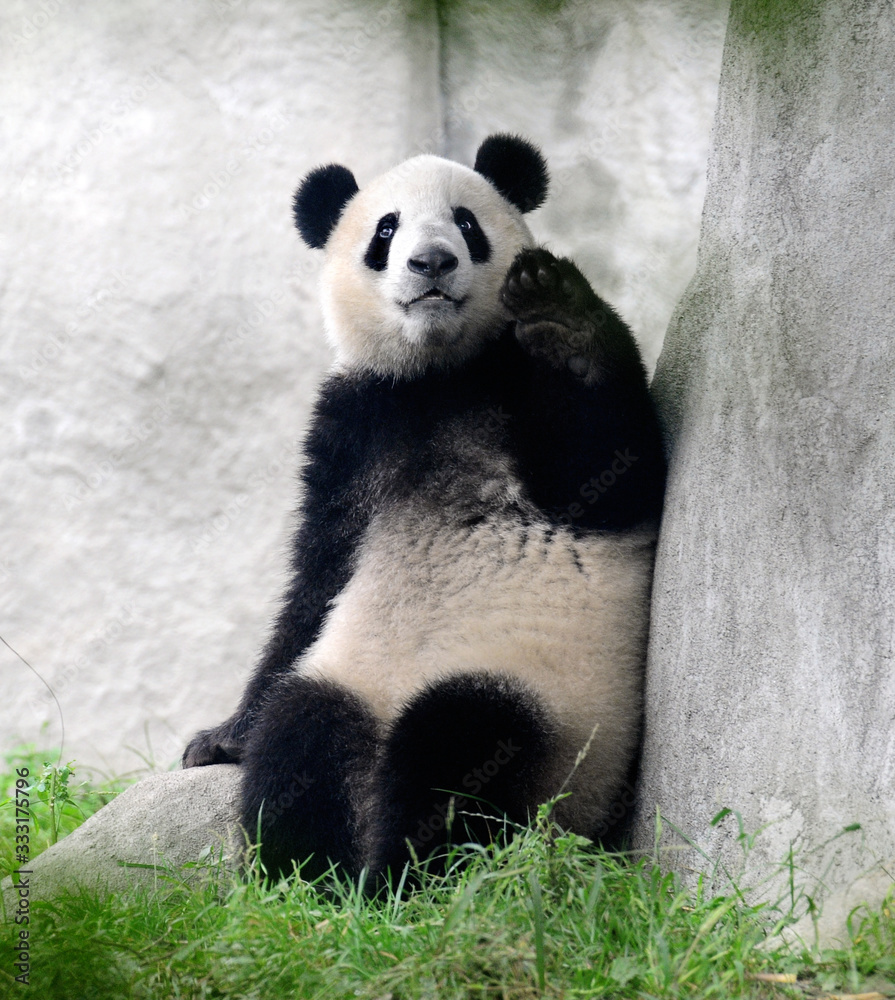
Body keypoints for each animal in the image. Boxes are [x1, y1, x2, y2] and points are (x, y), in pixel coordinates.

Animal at [183, 134, 666, 884]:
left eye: (465, 222)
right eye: (386, 230)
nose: (431, 261)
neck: (438, 371)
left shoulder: (513, 388)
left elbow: (614, 480)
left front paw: (563, 324)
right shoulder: (356, 426)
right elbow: (317, 579)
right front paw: (217, 739)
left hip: (566, 722)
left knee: (465, 741)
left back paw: (409, 879)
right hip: (351, 676)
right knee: (303, 730)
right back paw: (314, 881)